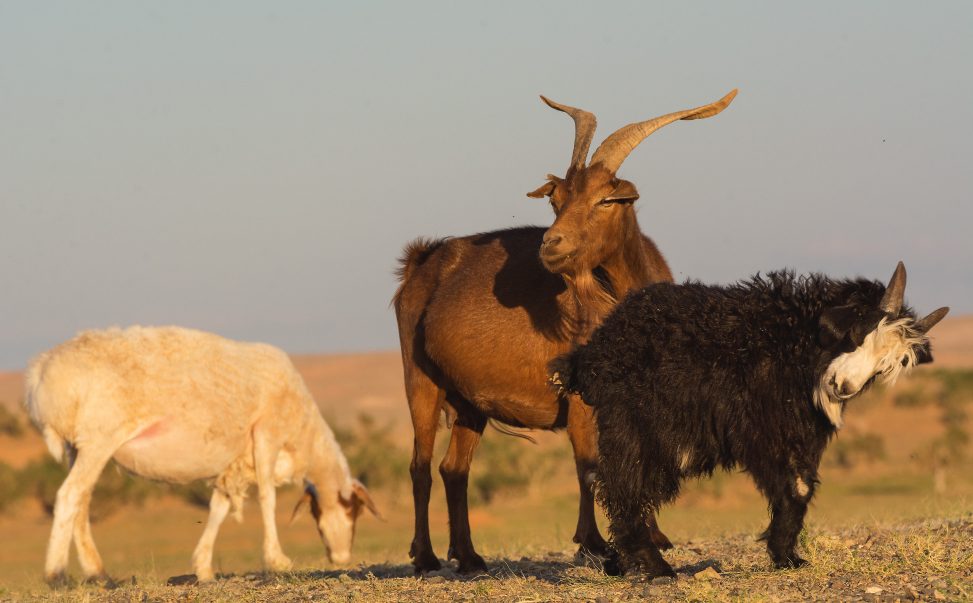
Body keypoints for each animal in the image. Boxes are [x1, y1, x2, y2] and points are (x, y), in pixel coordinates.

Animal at [24, 326, 378, 584]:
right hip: (99, 438)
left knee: (81, 503)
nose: (341, 558)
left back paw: (99, 573)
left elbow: (218, 509)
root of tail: (41, 372)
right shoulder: (267, 434)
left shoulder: (233, 463)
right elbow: (267, 497)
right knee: (69, 495)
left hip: (78, 446)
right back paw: (56, 575)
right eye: (354, 510)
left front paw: (203, 568)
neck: (304, 436)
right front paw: (277, 560)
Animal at [392, 87, 736, 572]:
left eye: (605, 200)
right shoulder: (580, 398)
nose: (551, 245)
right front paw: (596, 544)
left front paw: (653, 537)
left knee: (453, 469)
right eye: (556, 201)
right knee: (420, 466)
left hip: (468, 402)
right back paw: (425, 557)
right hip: (420, 381)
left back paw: (470, 556)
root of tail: (421, 263)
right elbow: (589, 465)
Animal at [552, 262, 944, 580]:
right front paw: (783, 552)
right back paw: (657, 568)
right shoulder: (761, 426)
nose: (842, 387)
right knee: (624, 487)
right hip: (635, 425)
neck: (793, 341)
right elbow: (794, 485)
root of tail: (595, 351)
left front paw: (787, 557)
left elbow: (800, 485)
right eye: (859, 332)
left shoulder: (797, 430)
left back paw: (623, 562)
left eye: (883, 368)